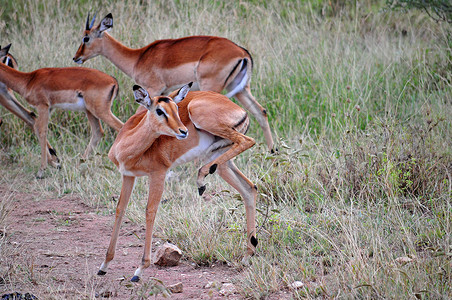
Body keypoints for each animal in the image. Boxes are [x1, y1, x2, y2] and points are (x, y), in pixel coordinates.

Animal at [0, 44, 123, 178]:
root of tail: (114, 81)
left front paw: (41, 171)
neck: (29, 80)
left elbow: (41, 130)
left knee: (121, 127)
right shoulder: (49, 108)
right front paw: (55, 164)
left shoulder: (43, 106)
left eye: (9, 60)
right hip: (90, 112)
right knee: (98, 132)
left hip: (100, 111)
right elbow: (36, 127)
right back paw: (78, 166)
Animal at [73, 12, 276, 152]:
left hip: (212, 88)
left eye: (86, 38)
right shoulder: (165, 94)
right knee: (261, 112)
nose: (76, 57)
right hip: (240, 89)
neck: (139, 57)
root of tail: (242, 52)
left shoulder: (153, 89)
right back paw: (272, 151)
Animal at [100, 82, 258, 282]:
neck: (126, 147)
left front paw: (140, 270)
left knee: (248, 141)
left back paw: (201, 180)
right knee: (249, 188)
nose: (183, 131)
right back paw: (247, 256)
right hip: (221, 160)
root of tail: (240, 111)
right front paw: (104, 265)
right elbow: (120, 209)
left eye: (176, 108)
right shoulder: (128, 175)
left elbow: (150, 211)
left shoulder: (158, 174)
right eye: (159, 110)